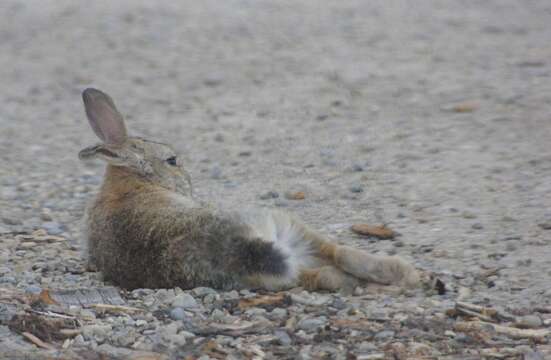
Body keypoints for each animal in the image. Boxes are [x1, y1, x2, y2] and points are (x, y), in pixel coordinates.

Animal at [80, 88, 420, 292]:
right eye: (172, 160)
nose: (187, 178)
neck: (135, 182)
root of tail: (236, 248)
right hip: (281, 221)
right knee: (338, 258)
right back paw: (406, 275)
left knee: (329, 269)